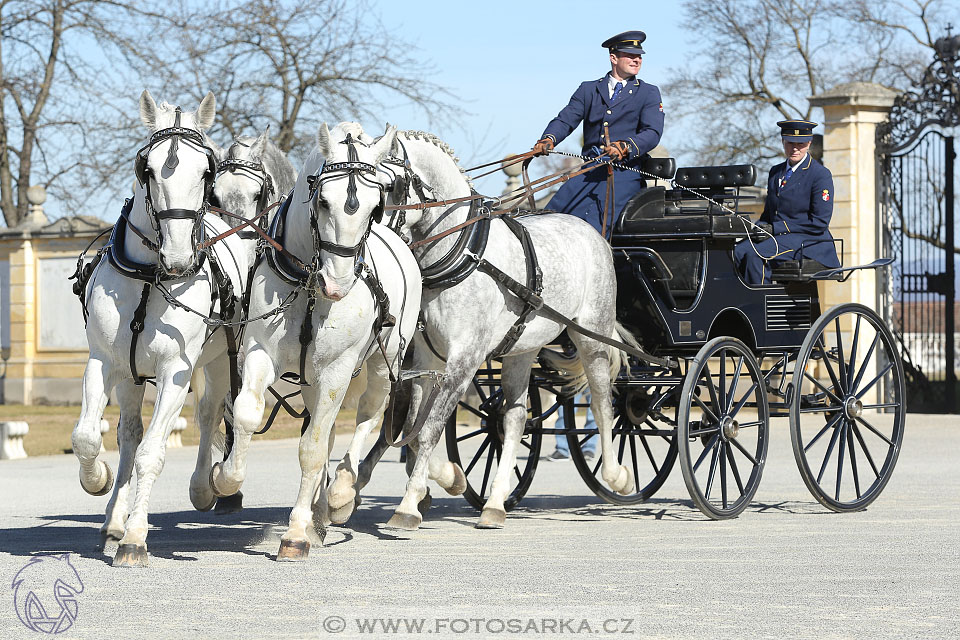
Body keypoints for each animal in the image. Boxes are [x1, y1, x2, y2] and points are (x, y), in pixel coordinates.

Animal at [72, 92, 249, 568]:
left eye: (205, 171)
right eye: (146, 168)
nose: (178, 258)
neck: (151, 277)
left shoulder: (175, 372)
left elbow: (153, 452)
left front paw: (136, 538)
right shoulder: (104, 362)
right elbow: (88, 438)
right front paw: (98, 481)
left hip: (219, 360)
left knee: (209, 414)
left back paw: (206, 487)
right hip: (131, 376)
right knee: (129, 435)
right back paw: (113, 518)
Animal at [210, 121, 420, 560]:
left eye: (374, 206)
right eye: (323, 200)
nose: (337, 284)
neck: (308, 284)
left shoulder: (337, 371)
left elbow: (313, 449)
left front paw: (295, 533)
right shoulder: (259, 353)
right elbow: (248, 414)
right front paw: (225, 479)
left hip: (381, 363)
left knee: (368, 416)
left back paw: (340, 496)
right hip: (311, 379)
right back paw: (320, 512)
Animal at [364, 130, 632, 528]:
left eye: (388, 186)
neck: (462, 253)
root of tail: (592, 232)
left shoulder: (465, 359)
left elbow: (428, 430)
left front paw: (408, 506)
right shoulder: (427, 357)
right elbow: (413, 428)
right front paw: (449, 478)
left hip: (591, 335)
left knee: (602, 403)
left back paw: (616, 476)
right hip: (523, 348)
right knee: (516, 418)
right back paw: (494, 503)